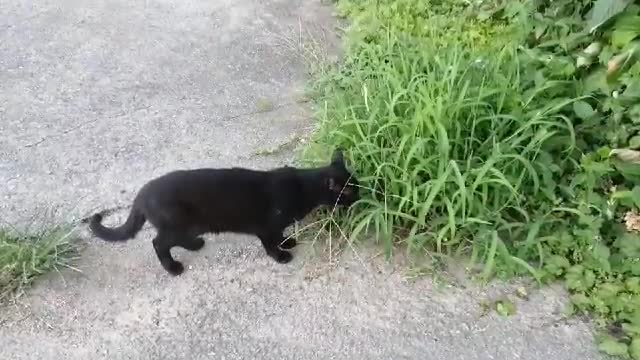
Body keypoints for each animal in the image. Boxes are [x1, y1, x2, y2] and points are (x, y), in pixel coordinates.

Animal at [86, 150, 360, 276]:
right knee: (158, 242)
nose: (361, 197)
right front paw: (281, 255)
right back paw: (173, 267)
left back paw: (195, 245)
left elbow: (279, 235)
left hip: (191, 224)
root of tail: (142, 193)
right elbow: (270, 242)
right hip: (178, 223)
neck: (304, 187)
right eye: (351, 191)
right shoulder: (265, 226)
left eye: (357, 186)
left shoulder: (274, 226)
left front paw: (287, 241)